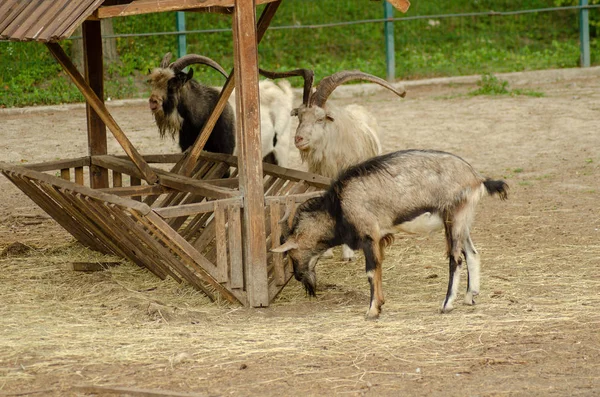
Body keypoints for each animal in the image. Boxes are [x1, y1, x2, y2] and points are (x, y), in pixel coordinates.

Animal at [274, 148, 508, 318]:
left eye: (291, 253)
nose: (298, 276)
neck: (337, 207)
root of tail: (477, 178)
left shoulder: (368, 235)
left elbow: (370, 271)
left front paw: (371, 311)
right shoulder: (379, 239)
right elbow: (378, 269)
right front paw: (380, 303)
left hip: (454, 217)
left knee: (456, 258)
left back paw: (446, 304)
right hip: (463, 221)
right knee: (472, 254)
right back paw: (470, 297)